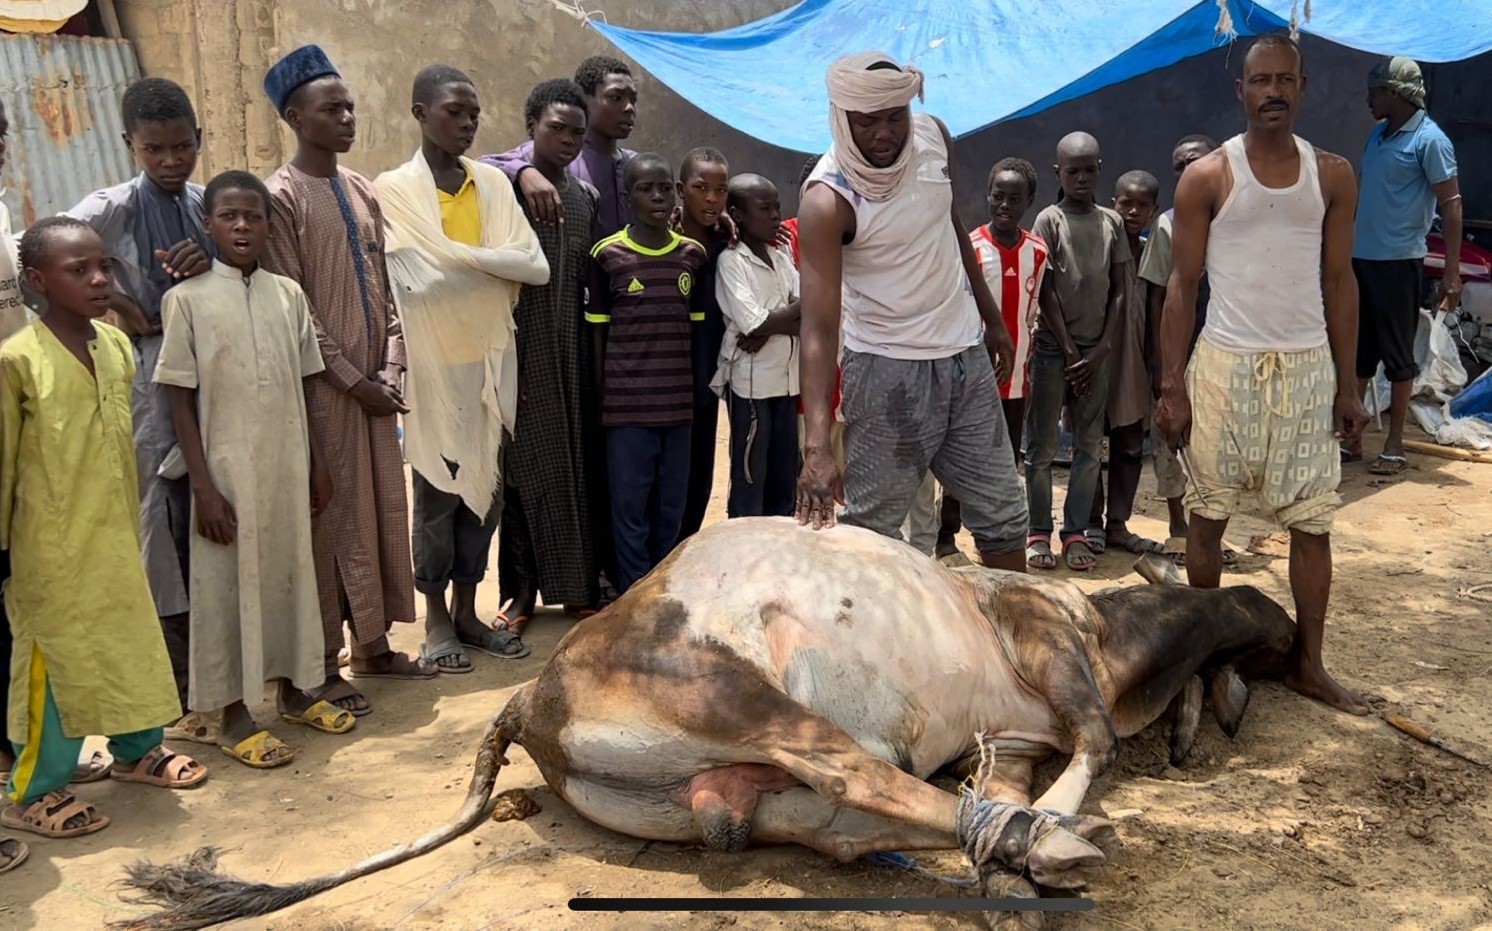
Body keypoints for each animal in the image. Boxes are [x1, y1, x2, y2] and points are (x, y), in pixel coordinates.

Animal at [122, 519, 1301, 925]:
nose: (1285, 628)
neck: (1103, 622)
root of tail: (528, 698)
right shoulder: (1040, 638)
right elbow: (1092, 739)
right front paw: (1059, 813)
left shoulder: (1010, 737)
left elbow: (1028, 761)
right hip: (742, 697)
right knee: (866, 778)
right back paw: (1040, 849)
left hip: (753, 795)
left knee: (840, 823)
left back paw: (1002, 861)